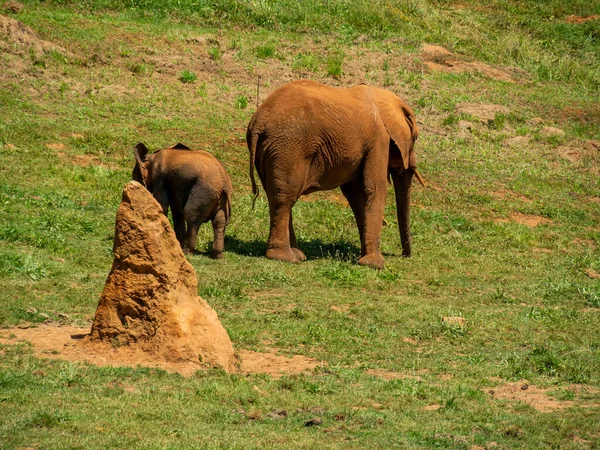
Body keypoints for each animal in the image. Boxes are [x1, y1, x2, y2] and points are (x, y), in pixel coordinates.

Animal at [245, 79, 422, 268]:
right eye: (416, 137)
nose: (405, 255)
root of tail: (258, 122)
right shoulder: (379, 140)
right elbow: (375, 188)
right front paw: (375, 264)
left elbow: (356, 193)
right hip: (288, 148)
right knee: (285, 198)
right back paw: (285, 257)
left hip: (270, 151)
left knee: (277, 195)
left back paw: (297, 255)